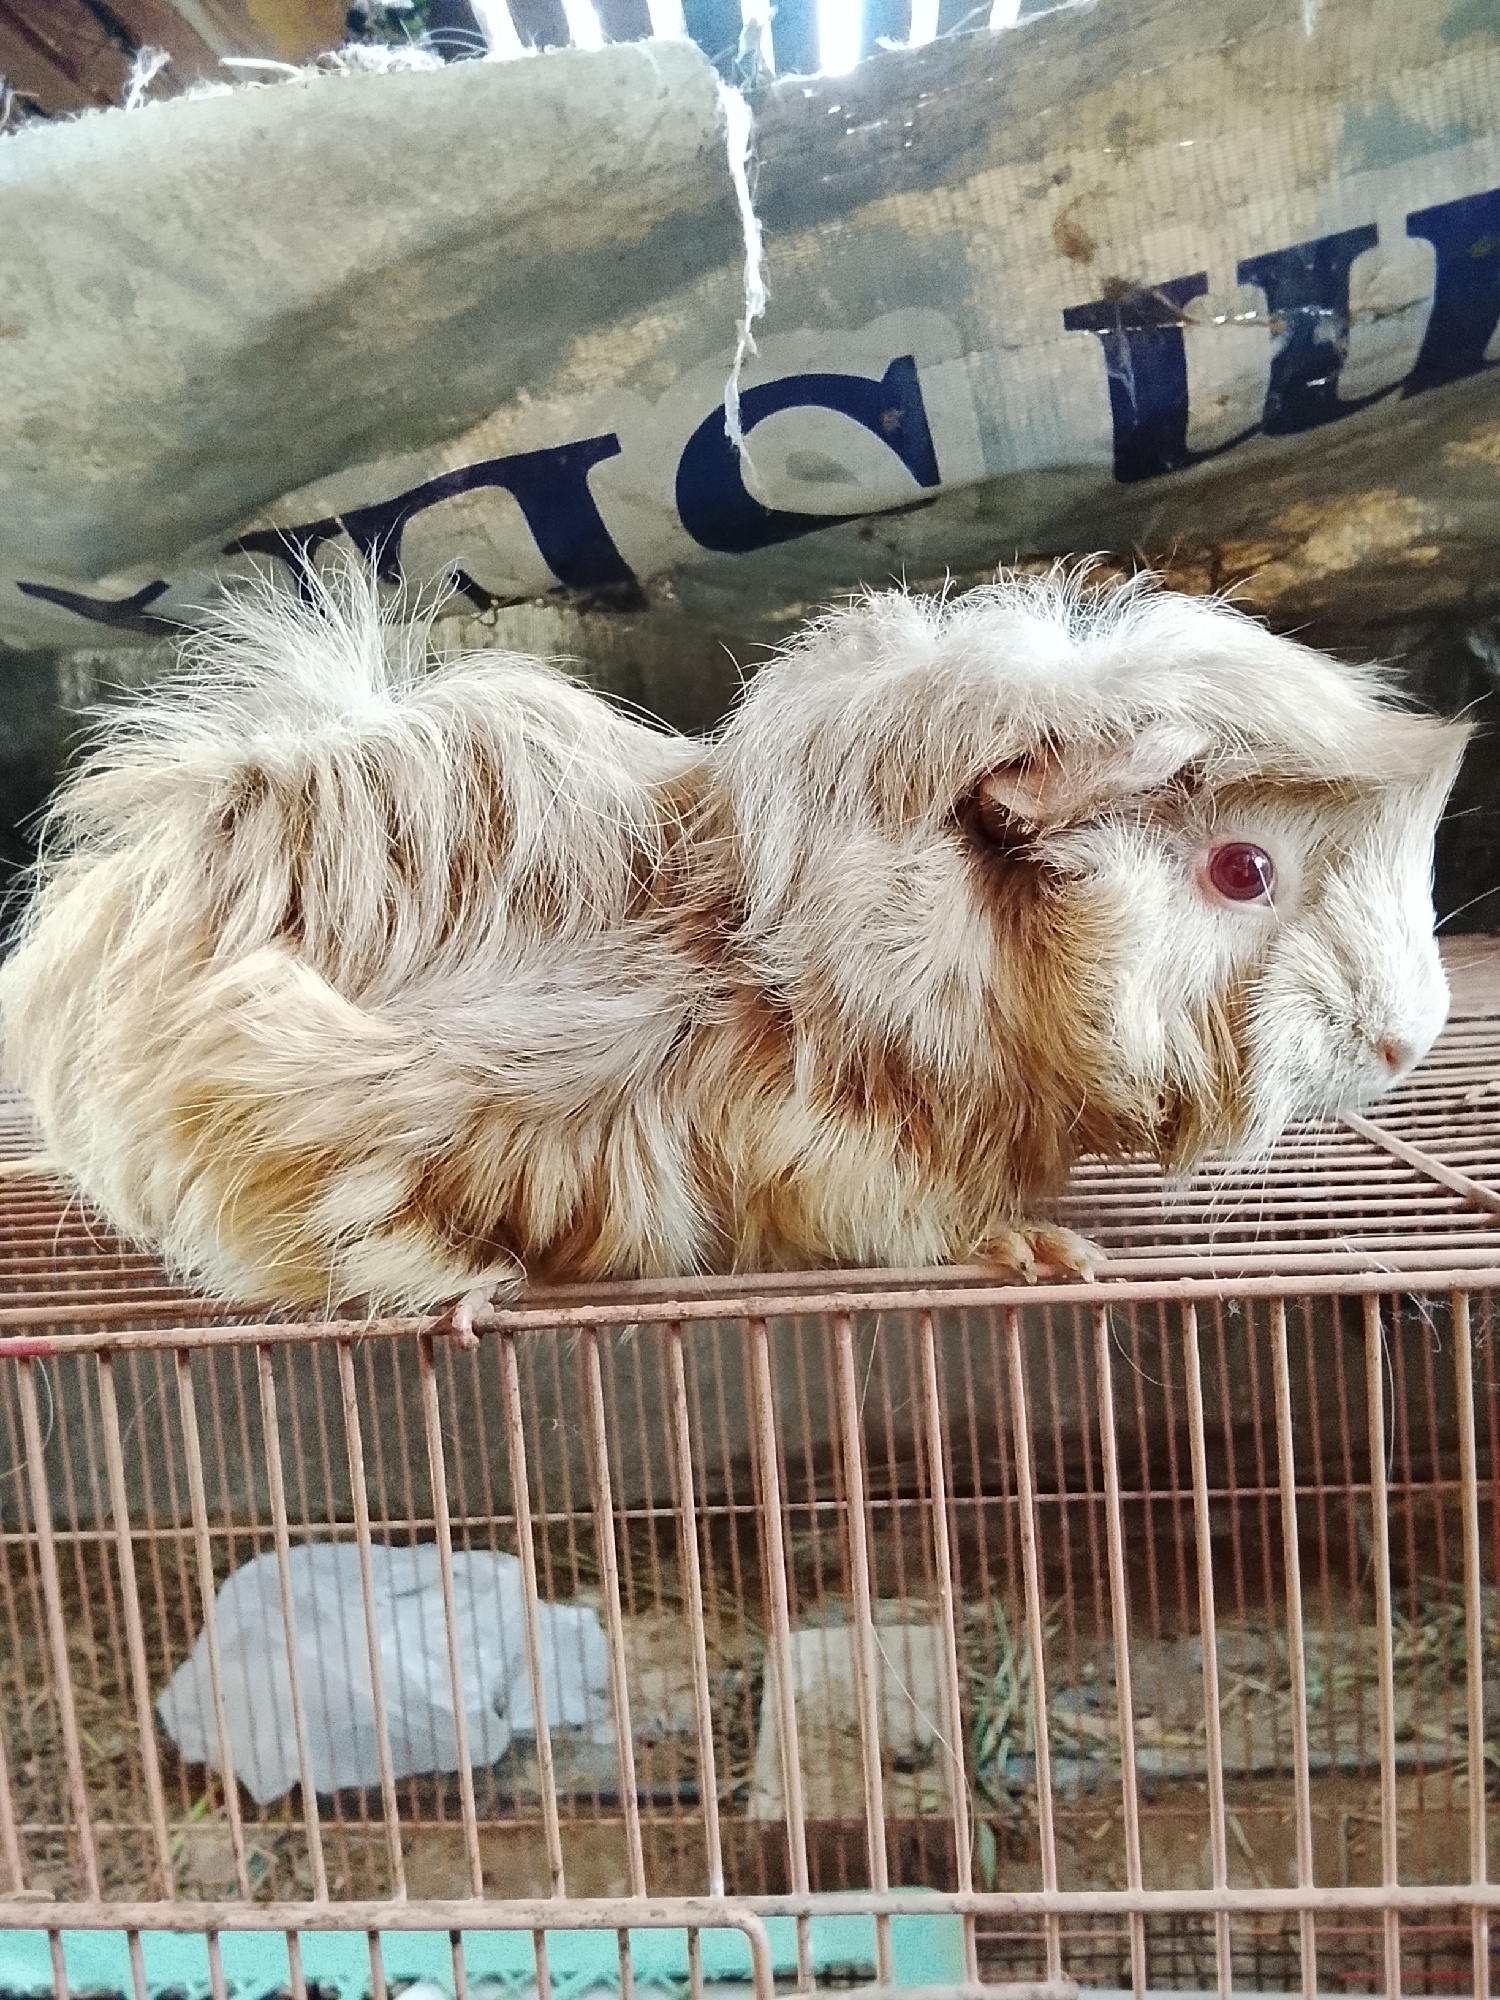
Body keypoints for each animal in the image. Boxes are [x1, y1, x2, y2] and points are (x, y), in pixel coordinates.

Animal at [0, 563, 1468, 1336]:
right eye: (1244, 868)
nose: (1412, 1036)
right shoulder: (830, 1155)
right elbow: (914, 1225)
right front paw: (1055, 1254)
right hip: (313, 1152)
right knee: (355, 1255)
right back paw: (477, 1295)